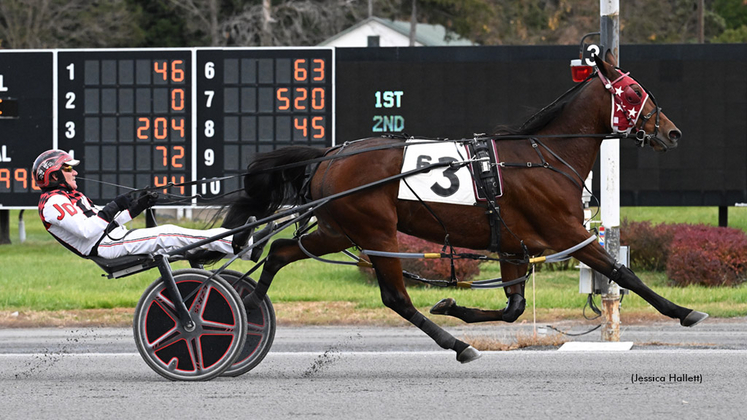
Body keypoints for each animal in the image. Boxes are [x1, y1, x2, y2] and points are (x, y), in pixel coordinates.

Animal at [222, 51, 708, 360]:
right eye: (634, 92)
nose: (673, 132)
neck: (545, 156)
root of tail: (327, 156)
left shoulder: (514, 245)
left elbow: (514, 307)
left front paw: (451, 305)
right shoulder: (565, 233)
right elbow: (622, 273)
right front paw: (684, 312)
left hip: (338, 230)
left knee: (280, 251)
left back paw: (248, 309)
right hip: (376, 232)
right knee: (395, 297)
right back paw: (457, 346)